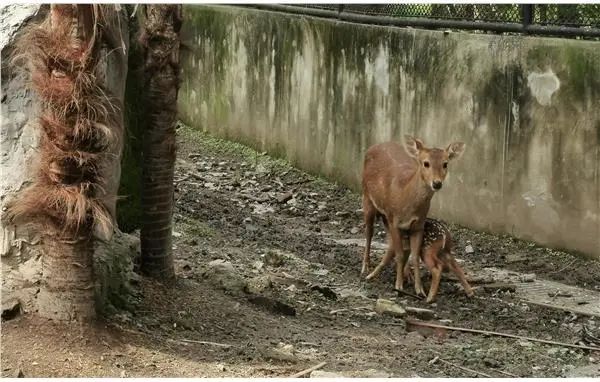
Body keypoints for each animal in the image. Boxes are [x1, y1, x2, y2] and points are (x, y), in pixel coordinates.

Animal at [358, 136, 466, 296]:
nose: (437, 183)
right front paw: (398, 286)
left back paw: (406, 274)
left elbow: (414, 256)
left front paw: (419, 289)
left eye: (445, 163)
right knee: (369, 232)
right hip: (367, 197)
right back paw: (365, 267)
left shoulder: (418, 225)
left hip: (386, 216)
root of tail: (374, 145)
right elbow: (400, 254)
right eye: (426, 163)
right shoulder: (394, 220)